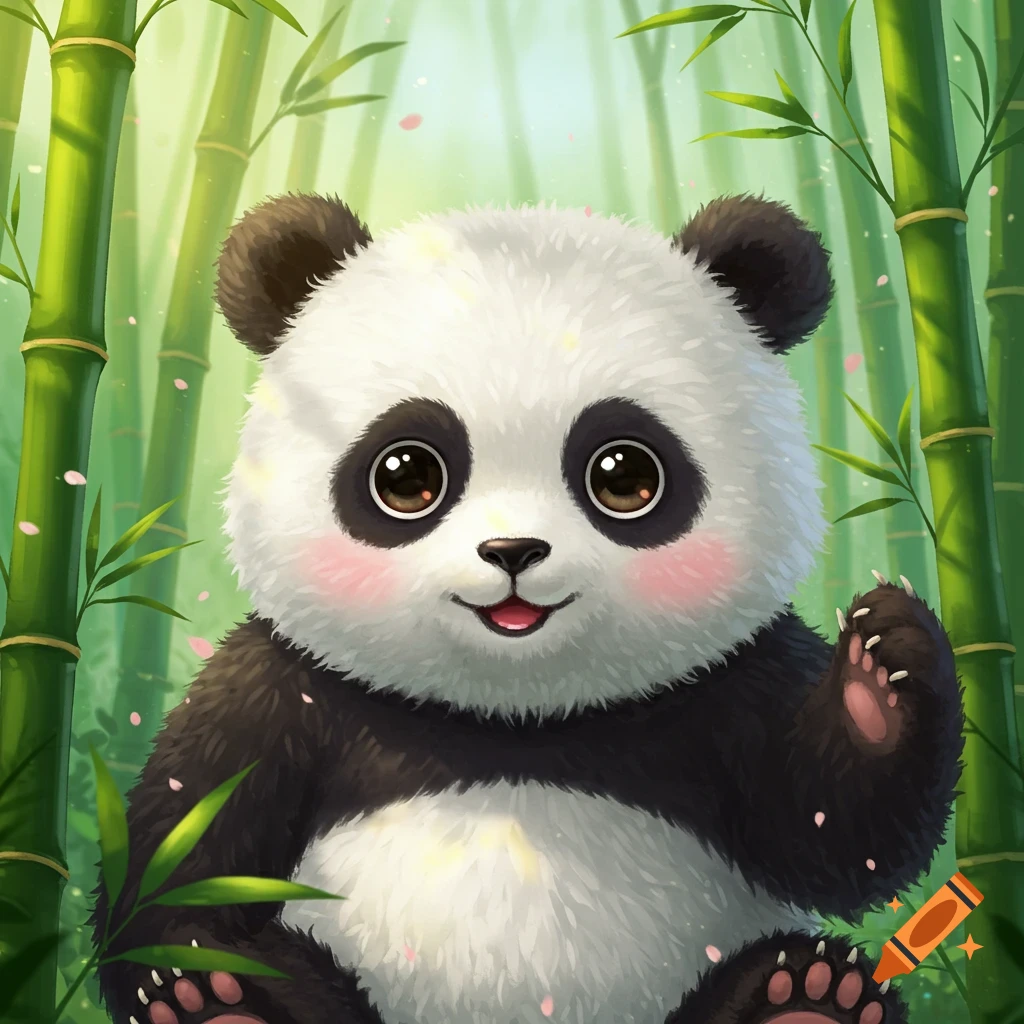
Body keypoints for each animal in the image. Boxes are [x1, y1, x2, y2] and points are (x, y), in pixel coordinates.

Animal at [94, 193, 963, 1024]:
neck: (516, 717)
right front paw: (196, 978)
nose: (512, 551)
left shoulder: (733, 680)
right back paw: (227, 1005)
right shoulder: (283, 688)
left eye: (624, 474)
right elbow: (175, 866)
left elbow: (830, 833)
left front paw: (878, 676)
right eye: (406, 474)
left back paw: (807, 998)